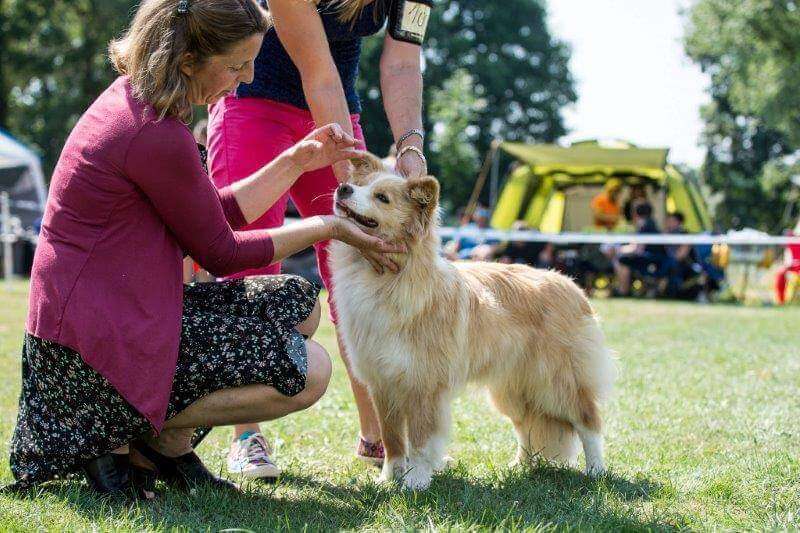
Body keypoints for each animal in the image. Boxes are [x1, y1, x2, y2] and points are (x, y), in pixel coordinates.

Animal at [328, 152, 616, 488]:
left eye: (382, 198)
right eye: (361, 185)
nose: (343, 188)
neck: (387, 277)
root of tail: (572, 286)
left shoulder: (424, 385)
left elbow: (420, 440)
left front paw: (415, 482)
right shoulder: (382, 383)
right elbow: (393, 440)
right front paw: (388, 480)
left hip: (557, 381)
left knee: (588, 421)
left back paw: (595, 471)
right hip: (513, 389)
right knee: (527, 426)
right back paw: (518, 467)